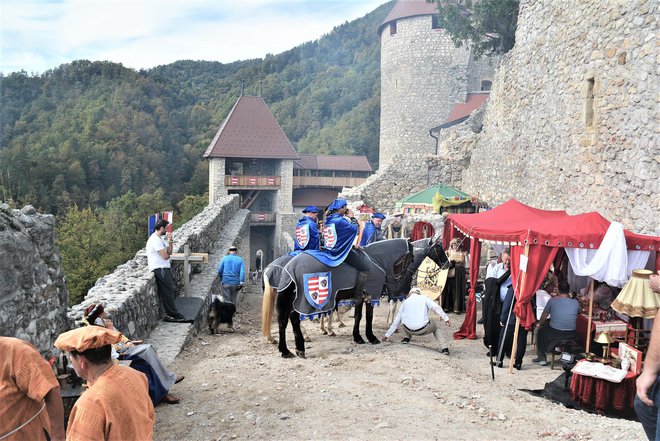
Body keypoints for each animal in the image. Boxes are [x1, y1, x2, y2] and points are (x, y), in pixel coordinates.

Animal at [262, 237, 448, 358]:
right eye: (439, 248)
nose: (448, 264)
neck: (377, 260)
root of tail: (288, 267)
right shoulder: (371, 294)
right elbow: (369, 316)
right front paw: (371, 337)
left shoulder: (360, 296)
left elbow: (358, 316)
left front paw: (358, 337)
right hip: (305, 300)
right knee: (294, 318)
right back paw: (300, 345)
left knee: (284, 321)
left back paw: (286, 350)